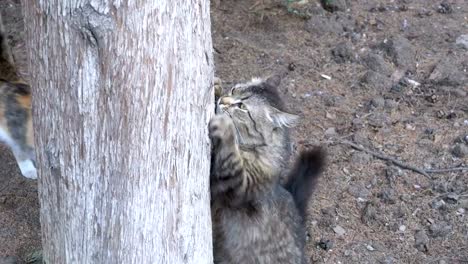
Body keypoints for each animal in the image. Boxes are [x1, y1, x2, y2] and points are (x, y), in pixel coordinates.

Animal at [209, 75, 324, 262]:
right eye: (233, 90)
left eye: (242, 107)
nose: (223, 101)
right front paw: (217, 88)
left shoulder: (238, 187)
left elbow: (230, 156)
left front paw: (226, 126)